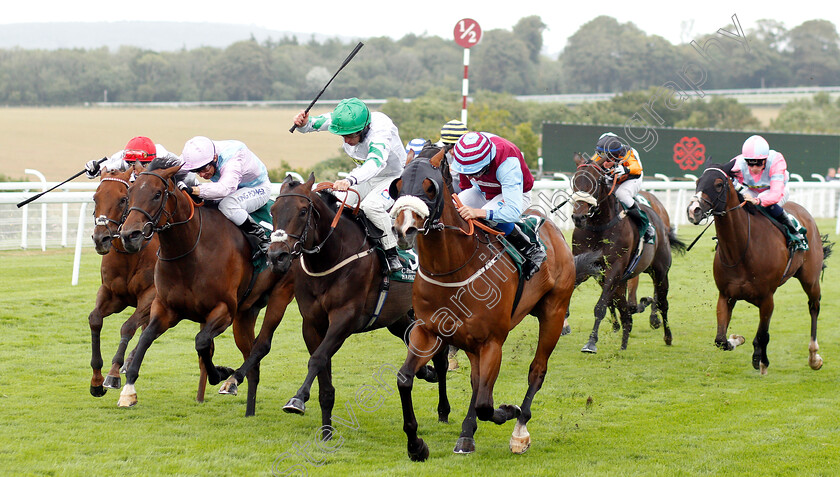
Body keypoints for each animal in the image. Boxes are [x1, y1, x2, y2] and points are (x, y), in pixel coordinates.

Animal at [116, 157, 296, 412]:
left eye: (157, 194)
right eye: (129, 194)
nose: (129, 235)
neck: (191, 251)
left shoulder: (224, 311)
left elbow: (201, 342)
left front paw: (220, 372)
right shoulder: (166, 308)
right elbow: (145, 337)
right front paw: (128, 390)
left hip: (280, 294)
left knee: (262, 345)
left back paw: (233, 381)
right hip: (246, 312)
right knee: (252, 359)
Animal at [254, 175, 450, 436]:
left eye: (303, 211)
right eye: (273, 210)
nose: (277, 257)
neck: (332, 257)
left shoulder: (344, 319)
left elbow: (317, 359)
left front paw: (297, 399)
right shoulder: (312, 323)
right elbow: (323, 371)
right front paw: (326, 431)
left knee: (441, 357)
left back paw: (443, 410)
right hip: (398, 317)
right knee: (413, 341)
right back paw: (425, 372)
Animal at [388, 144, 576, 458]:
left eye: (430, 187)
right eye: (397, 186)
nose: (405, 230)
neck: (455, 267)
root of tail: (552, 227)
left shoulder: (492, 341)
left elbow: (487, 405)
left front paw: (510, 410)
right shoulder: (428, 331)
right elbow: (405, 379)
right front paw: (416, 445)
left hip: (554, 311)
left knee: (536, 371)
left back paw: (519, 430)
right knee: (477, 382)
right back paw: (467, 434)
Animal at [568, 154, 684, 352]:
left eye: (596, 182)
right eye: (575, 181)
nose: (578, 217)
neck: (599, 227)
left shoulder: (615, 268)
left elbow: (601, 306)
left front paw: (591, 342)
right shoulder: (587, 267)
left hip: (660, 271)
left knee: (662, 301)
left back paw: (666, 335)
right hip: (621, 280)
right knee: (624, 309)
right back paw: (624, 341)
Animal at [684, 165, 832, 374]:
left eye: (719, 184)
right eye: (697, 182)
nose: (693, 210)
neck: (741, 250)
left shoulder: (767, 298)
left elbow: (762, 335)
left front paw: (761, 360)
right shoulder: (726, 295)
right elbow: (721, 340)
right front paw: (736, 339)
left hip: (810, 279)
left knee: (814, 307)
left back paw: (814, 357)